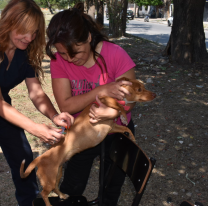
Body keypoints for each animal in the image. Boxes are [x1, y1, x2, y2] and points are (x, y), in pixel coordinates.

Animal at [19, 77, 156, 206]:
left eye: (143, 86)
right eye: (139, 89)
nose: (154, 95)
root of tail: (39, 158)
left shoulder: (112, 127)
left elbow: (126, 128)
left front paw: (132, 137)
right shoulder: (106, 101)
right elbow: (120, 106)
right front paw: (123, 115)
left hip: (58, 174)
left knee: (55, 188)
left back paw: (63, 195)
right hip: (49, 179)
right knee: (43, 193)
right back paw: (49, 204)